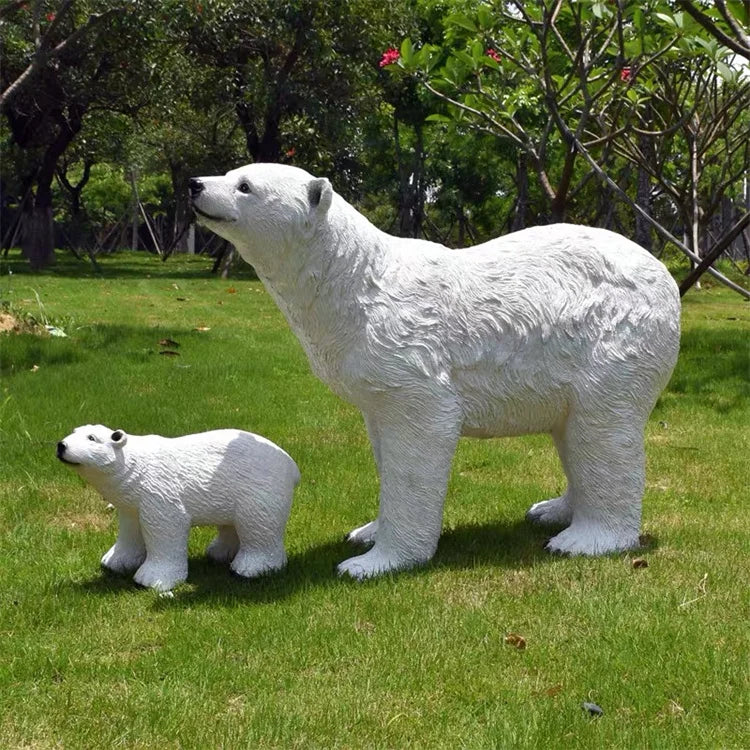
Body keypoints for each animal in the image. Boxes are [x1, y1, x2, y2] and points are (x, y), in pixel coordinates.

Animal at [57, 424, 300, 591]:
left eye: (92, 438)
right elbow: (130, 527)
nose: (61, 445)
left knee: (258, 524)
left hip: (259, 488)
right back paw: (219, 553)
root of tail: (292, 465)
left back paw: (249, 568)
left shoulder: (159, 489)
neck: (136, 464)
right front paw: (113, 562)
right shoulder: (132, 501)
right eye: (74, 431)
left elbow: (165, 526)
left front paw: (151, 579)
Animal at [189, 163, 681, 579]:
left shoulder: (410, 350)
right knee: (571, 428)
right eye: (230, 171)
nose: (194, 184)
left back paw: (584, 539)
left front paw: (373, 562)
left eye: (245, 185)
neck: (355, 280)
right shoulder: (372, 373)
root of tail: (667, 276)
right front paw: (365, 531)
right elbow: (381, 439)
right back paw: (551, 510)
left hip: (616, 337)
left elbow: (422, 434)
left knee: (602, 427)